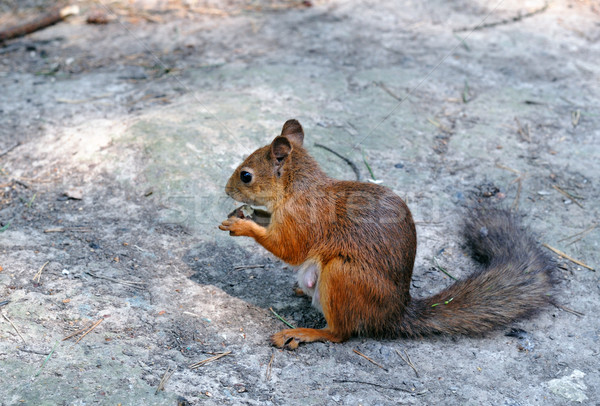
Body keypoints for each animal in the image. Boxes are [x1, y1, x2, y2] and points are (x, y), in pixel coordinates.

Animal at [218, 119, 556, 348]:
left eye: (246, 176)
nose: (226, 190)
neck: (296, 189)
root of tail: (395, 315)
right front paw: (245, 214)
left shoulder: (304, 220)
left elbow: (289, 248)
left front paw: (241, 225)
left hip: (343, 275)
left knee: (340, 334)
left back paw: (303, 333)